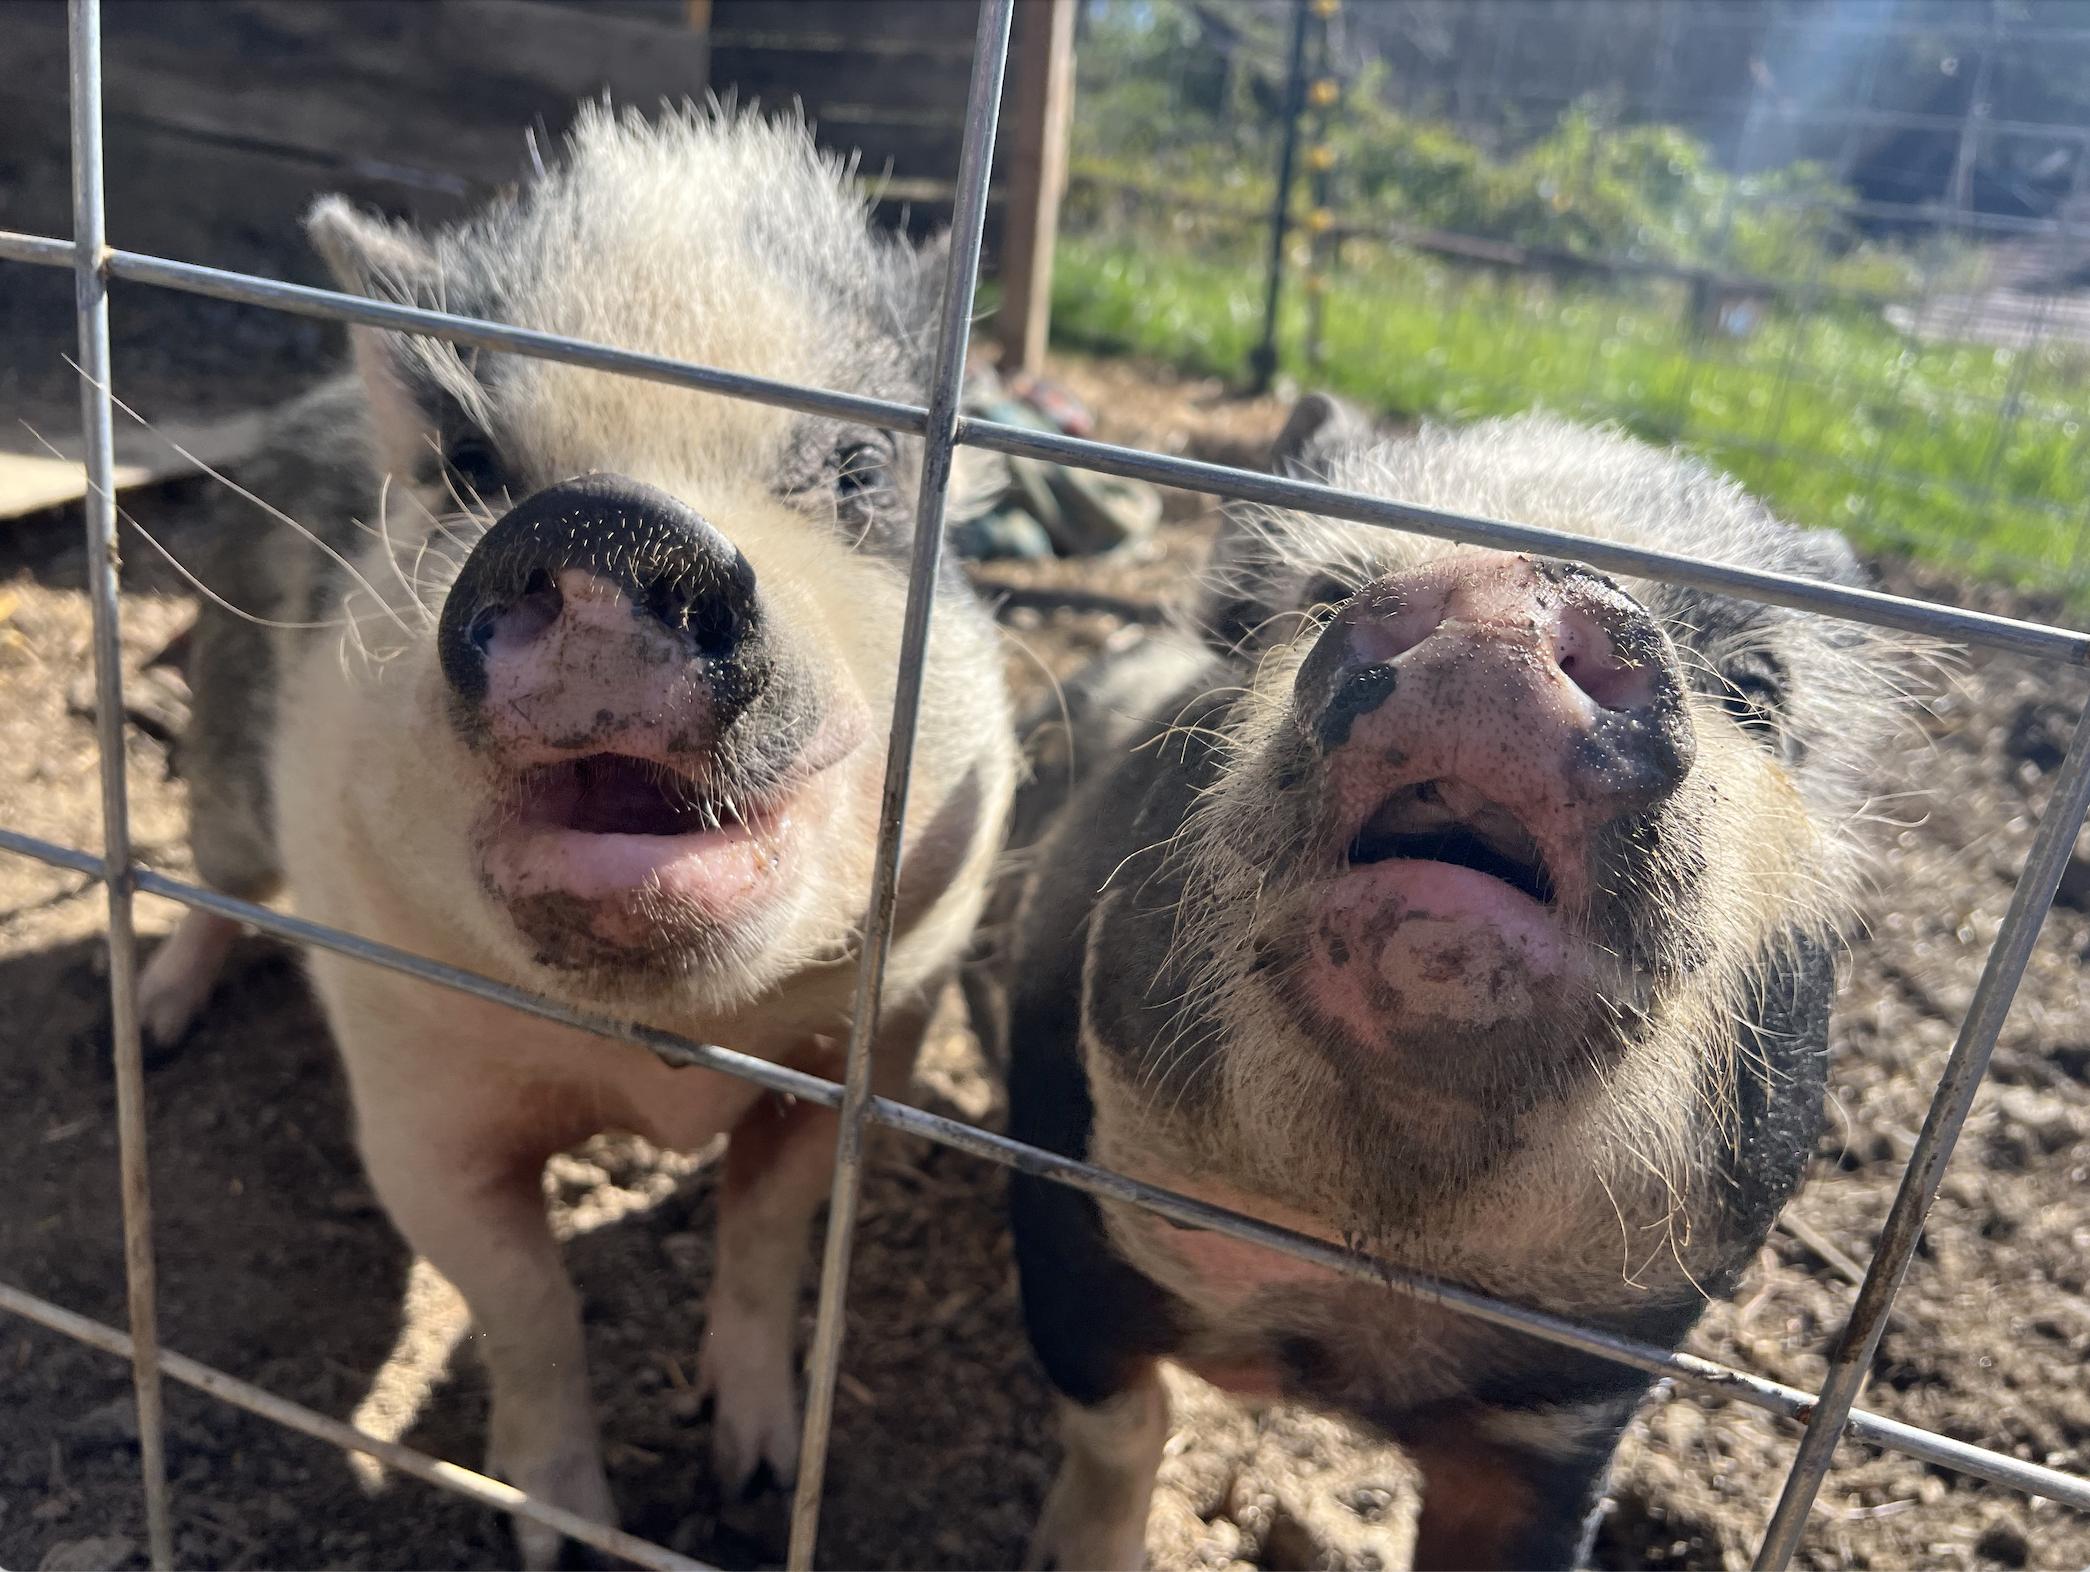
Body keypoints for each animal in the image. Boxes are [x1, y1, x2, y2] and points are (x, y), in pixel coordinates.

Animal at [137, 104, 1014, 1564]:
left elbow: (766, 1236)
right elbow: (525, 1307)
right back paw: (151, 1027)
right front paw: (558, 1533)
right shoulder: (408, 1090)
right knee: (211, 884)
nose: (611, 521)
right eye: (475, 469)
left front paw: (755, 1475)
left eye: (859, 467)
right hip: (218, 759)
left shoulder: (874, 1034)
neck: (658, 1052)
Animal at [997, 398, 1914, 1569]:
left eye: (1753, 693)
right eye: (1324, 591)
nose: (1512, 589)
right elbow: (1118, 1417)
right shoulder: (1059, 1173)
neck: (1367, 1262)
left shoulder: (1585, 1383)